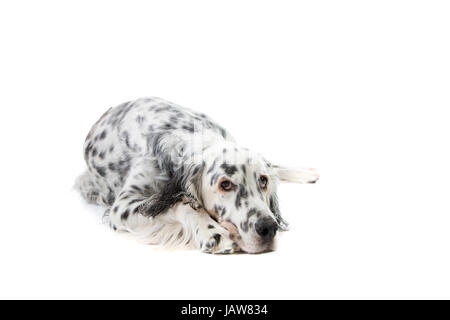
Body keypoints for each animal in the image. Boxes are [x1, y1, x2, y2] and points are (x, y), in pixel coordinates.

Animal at [75, 96, 318, 254]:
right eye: (225, 185)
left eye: (263, 181)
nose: (268, 228)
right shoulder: (123, 206)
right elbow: (182, 204)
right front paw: (213, 232)